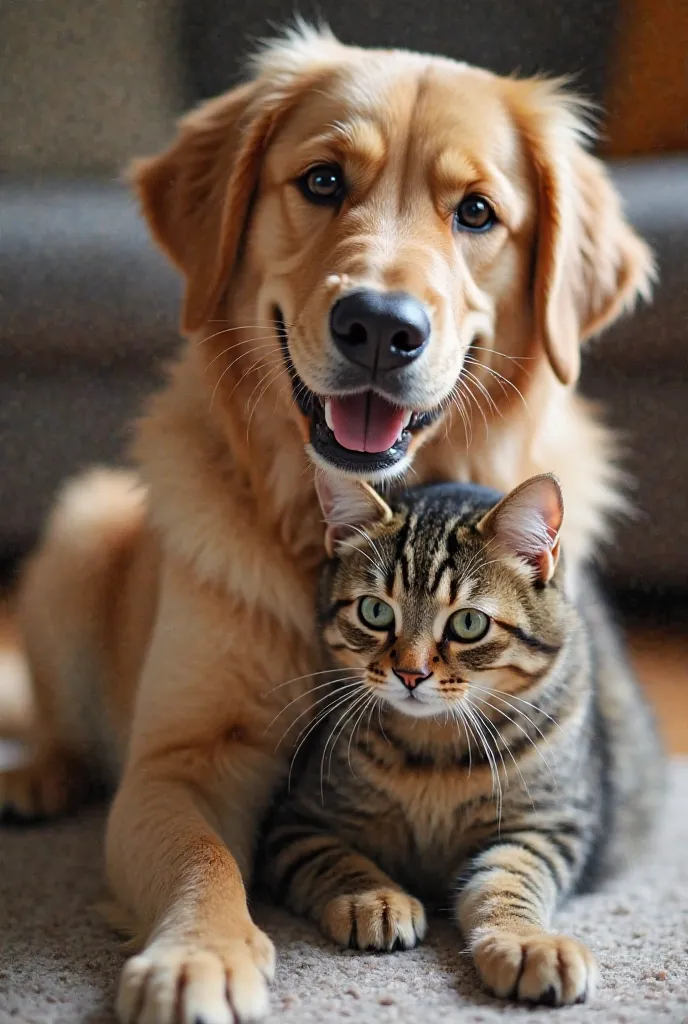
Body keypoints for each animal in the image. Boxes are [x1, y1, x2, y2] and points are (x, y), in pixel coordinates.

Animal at [262, 475, 659, 1003]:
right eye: (374, 611)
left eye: (468, 623)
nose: (410, 674)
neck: (435, 750)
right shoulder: (299, 821)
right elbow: (336, 860)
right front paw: (375, 899)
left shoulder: (543, 828)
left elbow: (507, 883)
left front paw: (530, 944)